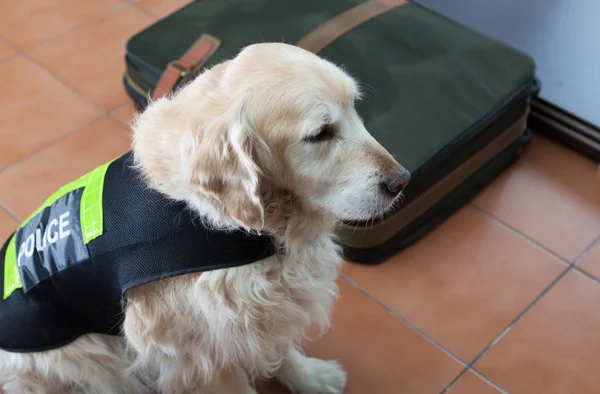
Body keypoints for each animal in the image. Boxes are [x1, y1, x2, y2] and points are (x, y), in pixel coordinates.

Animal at [0, 43, 410, 394]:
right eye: (320, 133)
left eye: (355, 108)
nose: (402, 180)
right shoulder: (199, 354)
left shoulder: (262, 313)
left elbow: (280, 347)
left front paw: (310, 376)